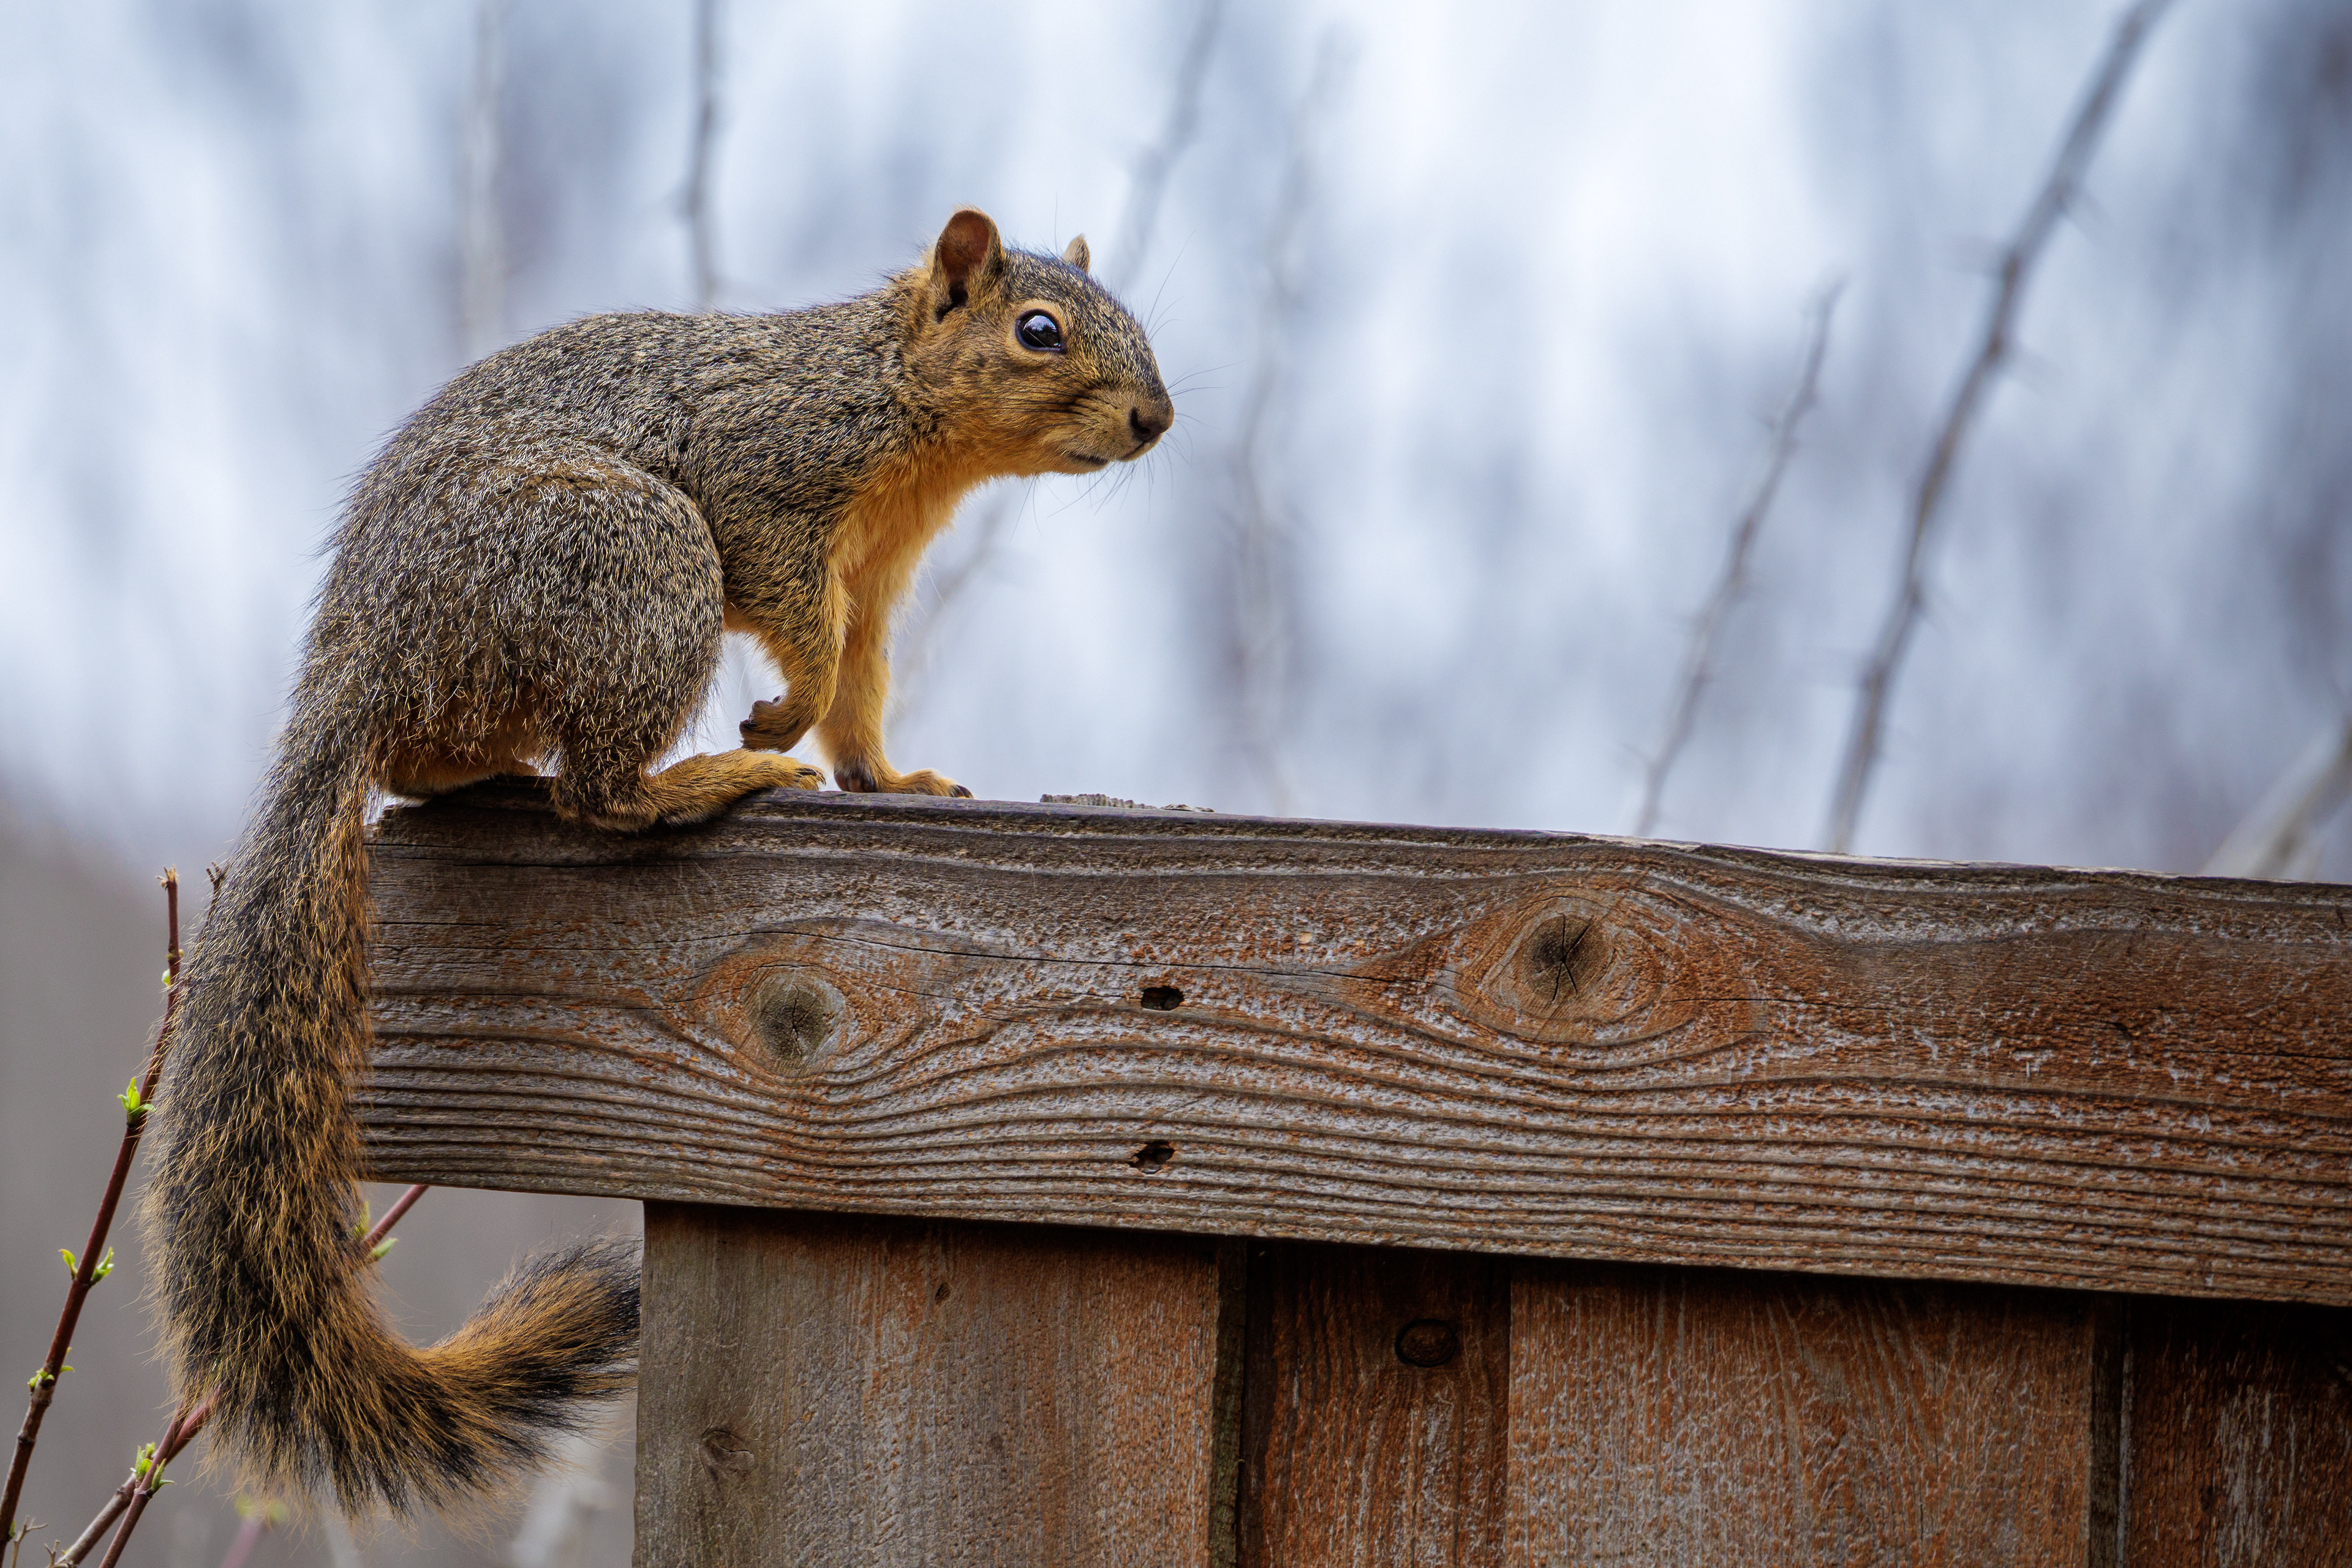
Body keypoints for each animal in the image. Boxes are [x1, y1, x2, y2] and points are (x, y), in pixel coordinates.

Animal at [140, 208, 1172, 1515]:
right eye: (1039, 332)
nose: (1157, 418)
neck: (894, 403)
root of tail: (360, 667)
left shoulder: (878, 571)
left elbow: (862, 684)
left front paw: (889, 779)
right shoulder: (766, 483)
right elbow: (811, 635)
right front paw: (780, 719)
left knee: (444, 768)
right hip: (636, 558)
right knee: (598, 792)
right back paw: (700, 781)